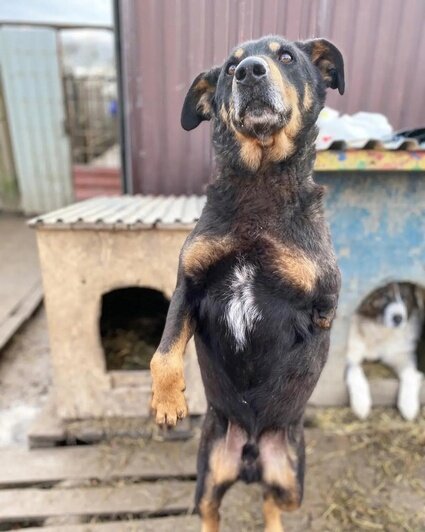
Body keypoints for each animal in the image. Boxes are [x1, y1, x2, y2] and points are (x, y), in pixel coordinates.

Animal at [151, 35, 342, 528]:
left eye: (286, 56)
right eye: (227, 68)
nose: (249, 71)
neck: (258, 182)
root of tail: (251, 454)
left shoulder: (323, 301)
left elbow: (312, 345)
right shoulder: (189, 284)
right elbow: (164, 352)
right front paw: (167, 402)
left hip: (293, 480)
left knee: (273, 501)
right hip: (206, 474)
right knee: (211, 510)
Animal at [346, 282, 422, 420]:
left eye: (404, 297)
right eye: (385, 296)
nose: (398, 318)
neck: (380, 329)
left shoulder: (402, 355)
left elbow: (410, 374)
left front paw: (409, 404)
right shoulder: (351, 354)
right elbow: (355, 370)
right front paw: (361, 403)